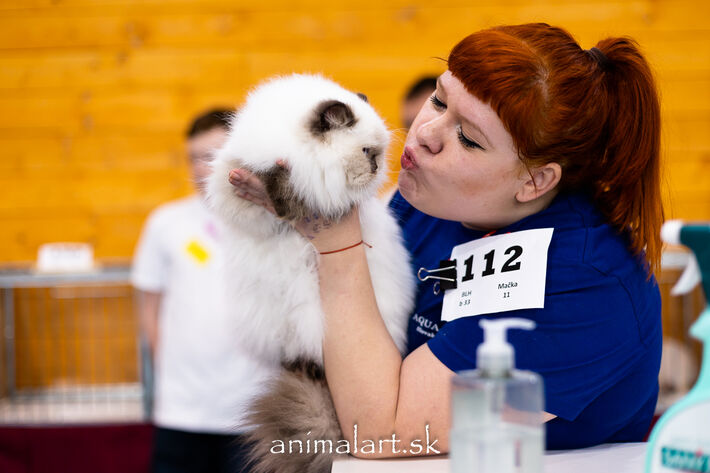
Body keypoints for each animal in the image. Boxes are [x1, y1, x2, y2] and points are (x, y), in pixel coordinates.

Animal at [206, 74, 418, 472]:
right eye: (366, 152)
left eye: (377, 154)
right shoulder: (238, 185)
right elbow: (274, 180)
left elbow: (293, 195)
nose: (376, 168)